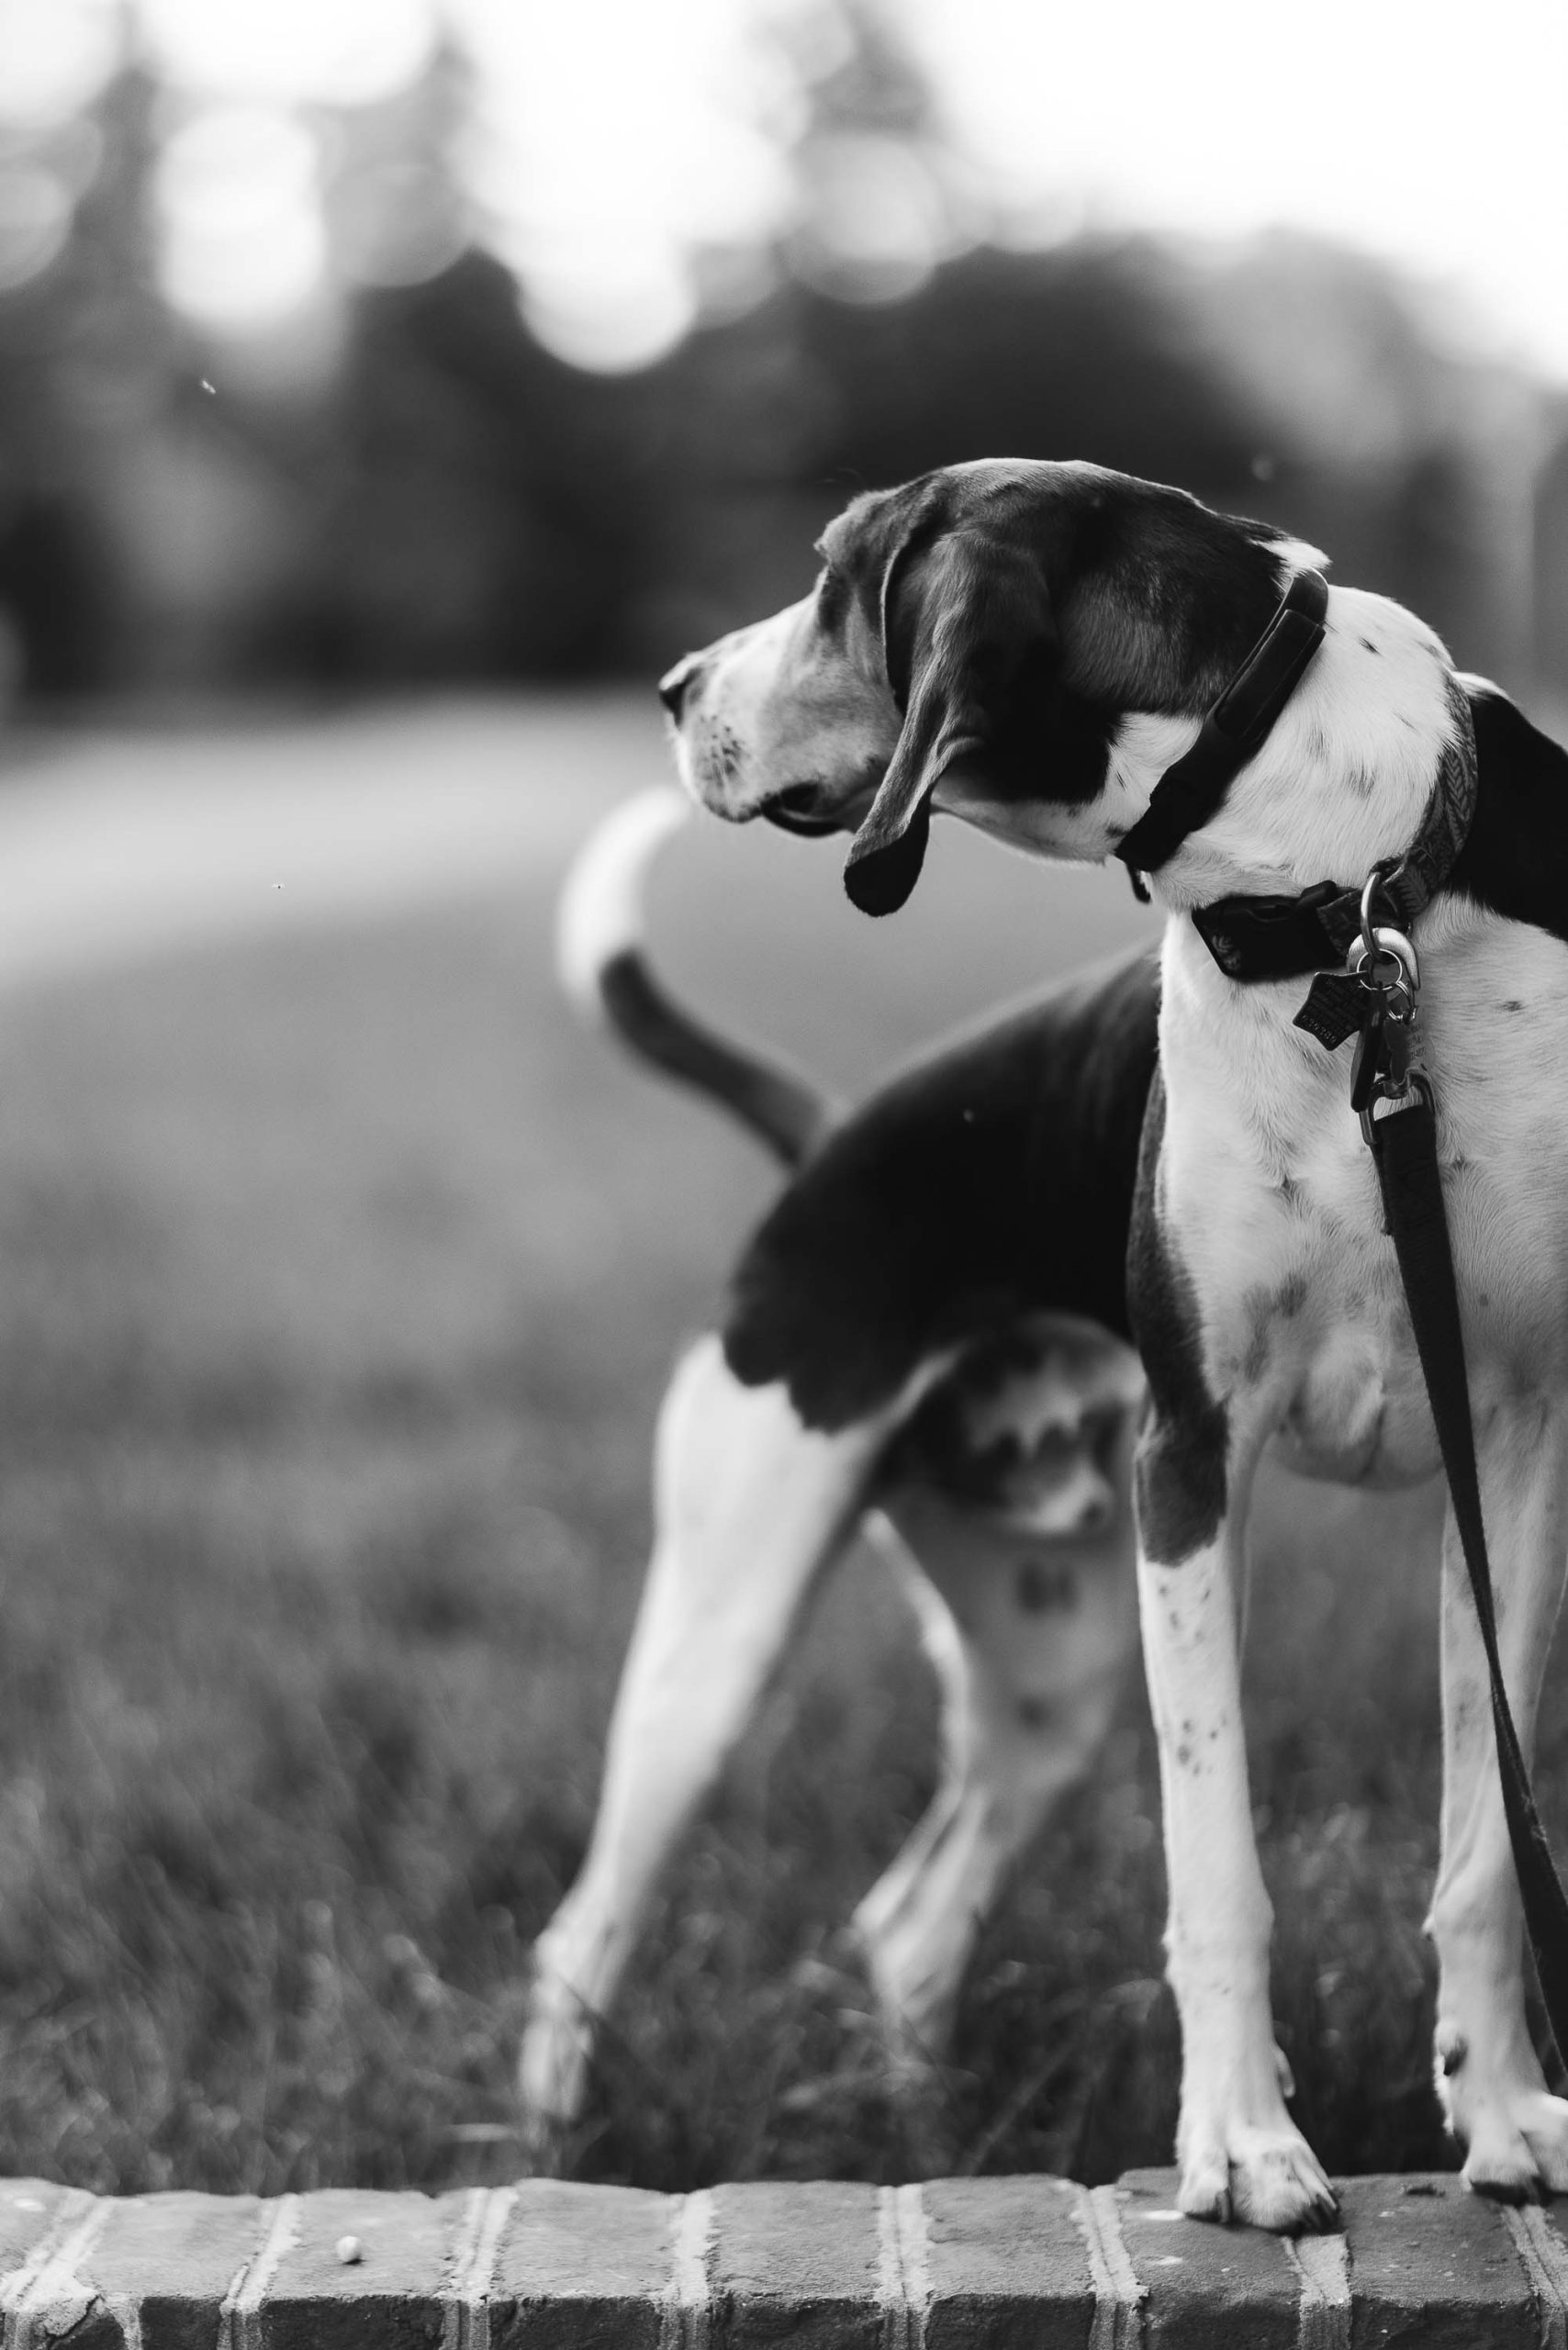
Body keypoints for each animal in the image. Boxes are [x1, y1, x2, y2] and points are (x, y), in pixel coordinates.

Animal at [634, 453, 1568, 2218]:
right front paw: (1243, 2145)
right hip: (717, 1640)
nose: (671, 686)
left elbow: (1488, 1843)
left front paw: (1497, 2118)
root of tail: (828, 1140)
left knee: (905, 1926)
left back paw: (929, 2145)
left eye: (833, 579)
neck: (1339, 913)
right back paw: (550, 2134)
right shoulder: (1188, 1458)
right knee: (579, 1943)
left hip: (1050, 1671)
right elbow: (1217, 1867)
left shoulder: (1524, 1452)